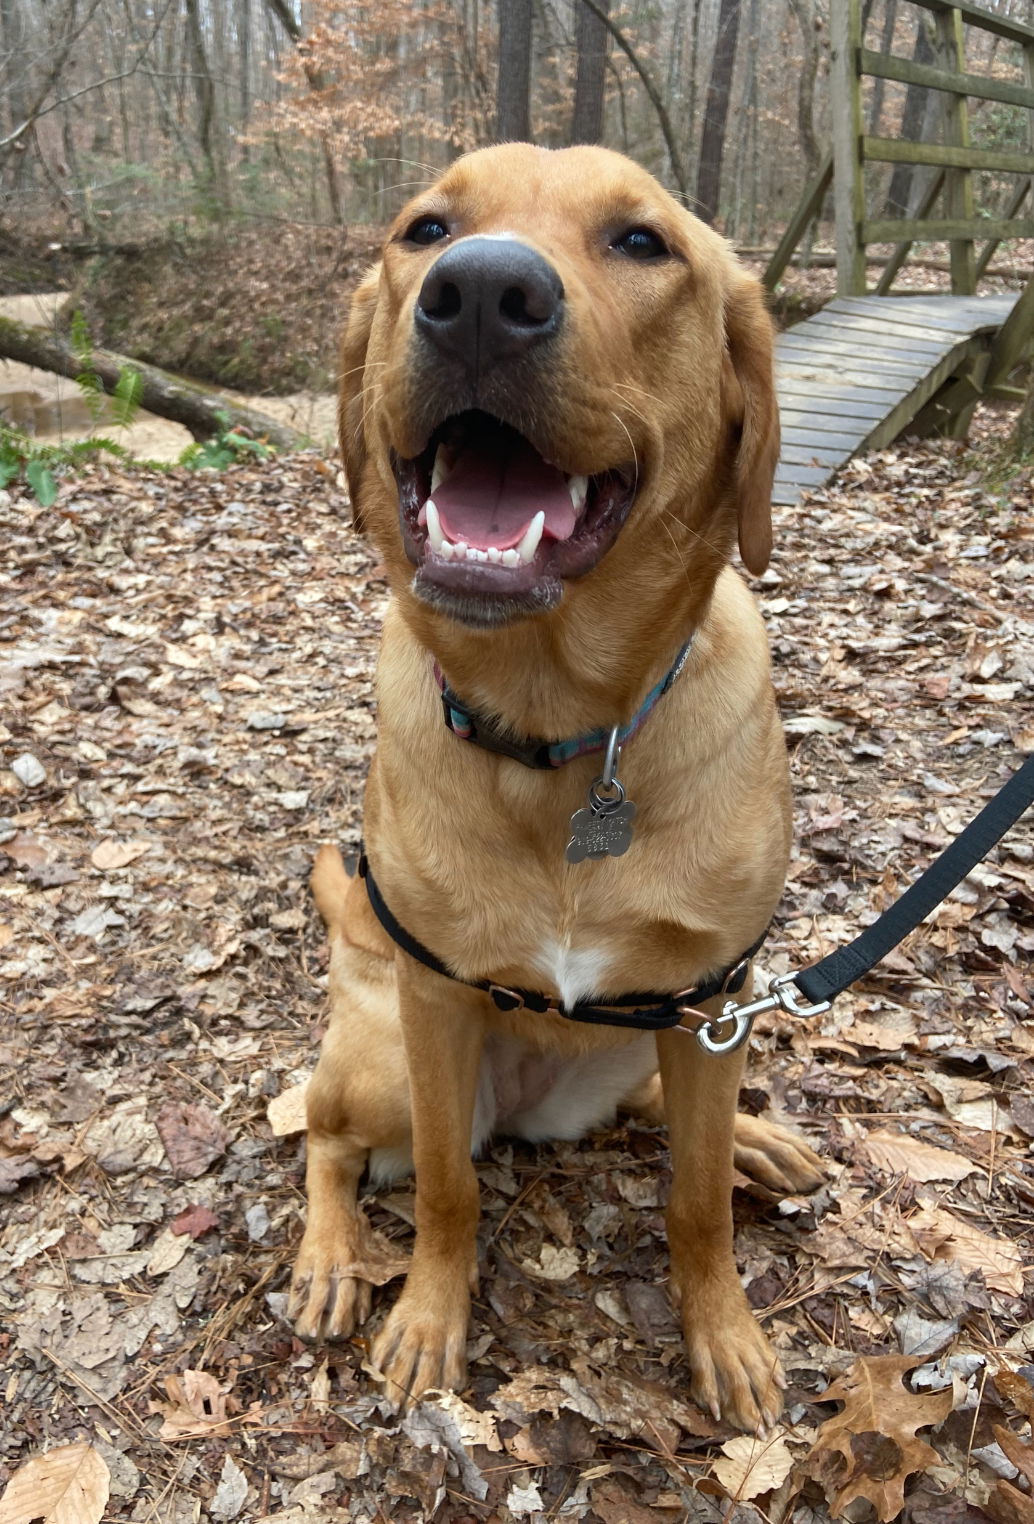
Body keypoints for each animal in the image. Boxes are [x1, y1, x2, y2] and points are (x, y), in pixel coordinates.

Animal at [291, 140, 823, 1426]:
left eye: (641, 243)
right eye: (426, 230)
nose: (482, 294)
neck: (562, 732)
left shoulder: (710, 999)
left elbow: (693, 1202)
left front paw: (722, 1331)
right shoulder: (435, 1007)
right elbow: (446, 1191)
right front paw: (428, 1319)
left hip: (661, 1035)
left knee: (659, 1115)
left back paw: (755, 1142)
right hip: (387, 1063)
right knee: (324, 1136)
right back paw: (331, 1256)